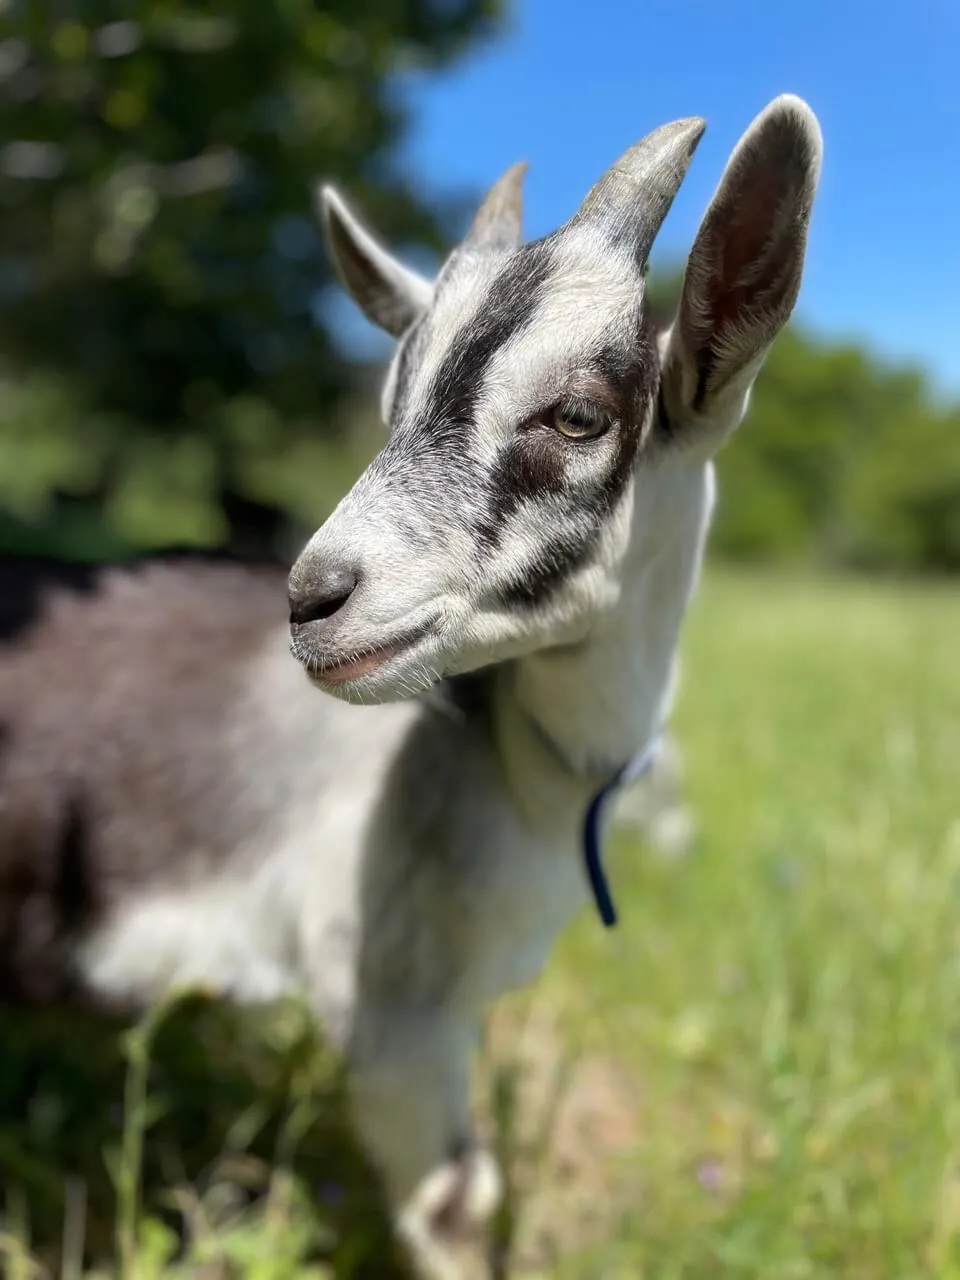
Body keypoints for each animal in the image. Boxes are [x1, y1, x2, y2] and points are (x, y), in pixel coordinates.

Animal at [0, 94, 821, 1277]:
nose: (314, 598)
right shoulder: (393, 1009)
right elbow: (455, 1203)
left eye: (579, 415)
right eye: (393, 401)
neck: (509, 776)